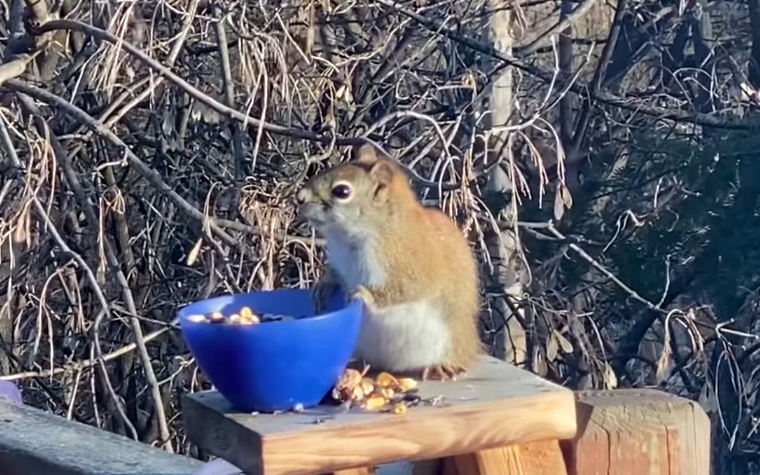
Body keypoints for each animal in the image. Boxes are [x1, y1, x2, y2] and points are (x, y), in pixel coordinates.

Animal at [296, 143, 480, 382]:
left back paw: (439, 366)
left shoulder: (414, 265)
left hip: (448, 342)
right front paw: (324, 285)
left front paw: (364, 294)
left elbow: (405, 289)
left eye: (342, 191)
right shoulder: (339, 260)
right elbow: (336, 273)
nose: (300, 197)